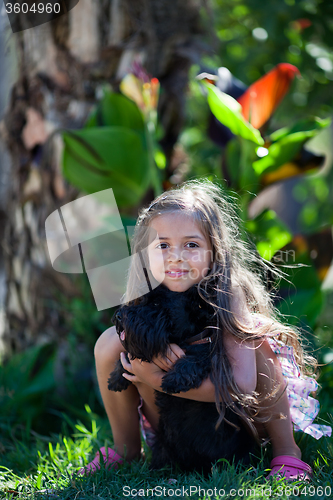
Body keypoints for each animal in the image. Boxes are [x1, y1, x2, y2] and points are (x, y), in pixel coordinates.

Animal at [107, 284, 253, 474]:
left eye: (156, 303)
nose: (119, 315)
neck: (184, 339)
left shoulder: (213, 359)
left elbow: (195, 359)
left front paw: (175, 379)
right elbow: (129, 354)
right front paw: (116, 377)